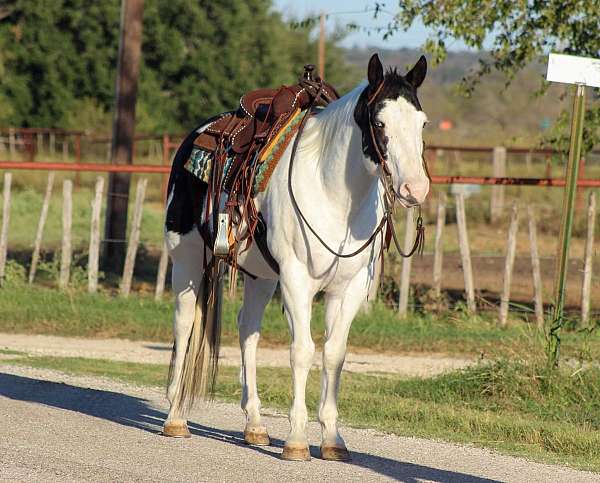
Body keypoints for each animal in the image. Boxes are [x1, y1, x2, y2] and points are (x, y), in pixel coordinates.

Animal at [162, 53, 428, 462]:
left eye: (422, 123)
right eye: (380, 122)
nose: (415, 188)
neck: (334, 195)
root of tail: (196, 135)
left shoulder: (348, 288)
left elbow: (334, 353)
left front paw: (332, 439)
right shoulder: (296, 280)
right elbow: (302, 351)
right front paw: (297, 439)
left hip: (260, 276)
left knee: (248, 330)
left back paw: (255, 425)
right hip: (188, 260)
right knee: (184, 323)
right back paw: (175, 418)